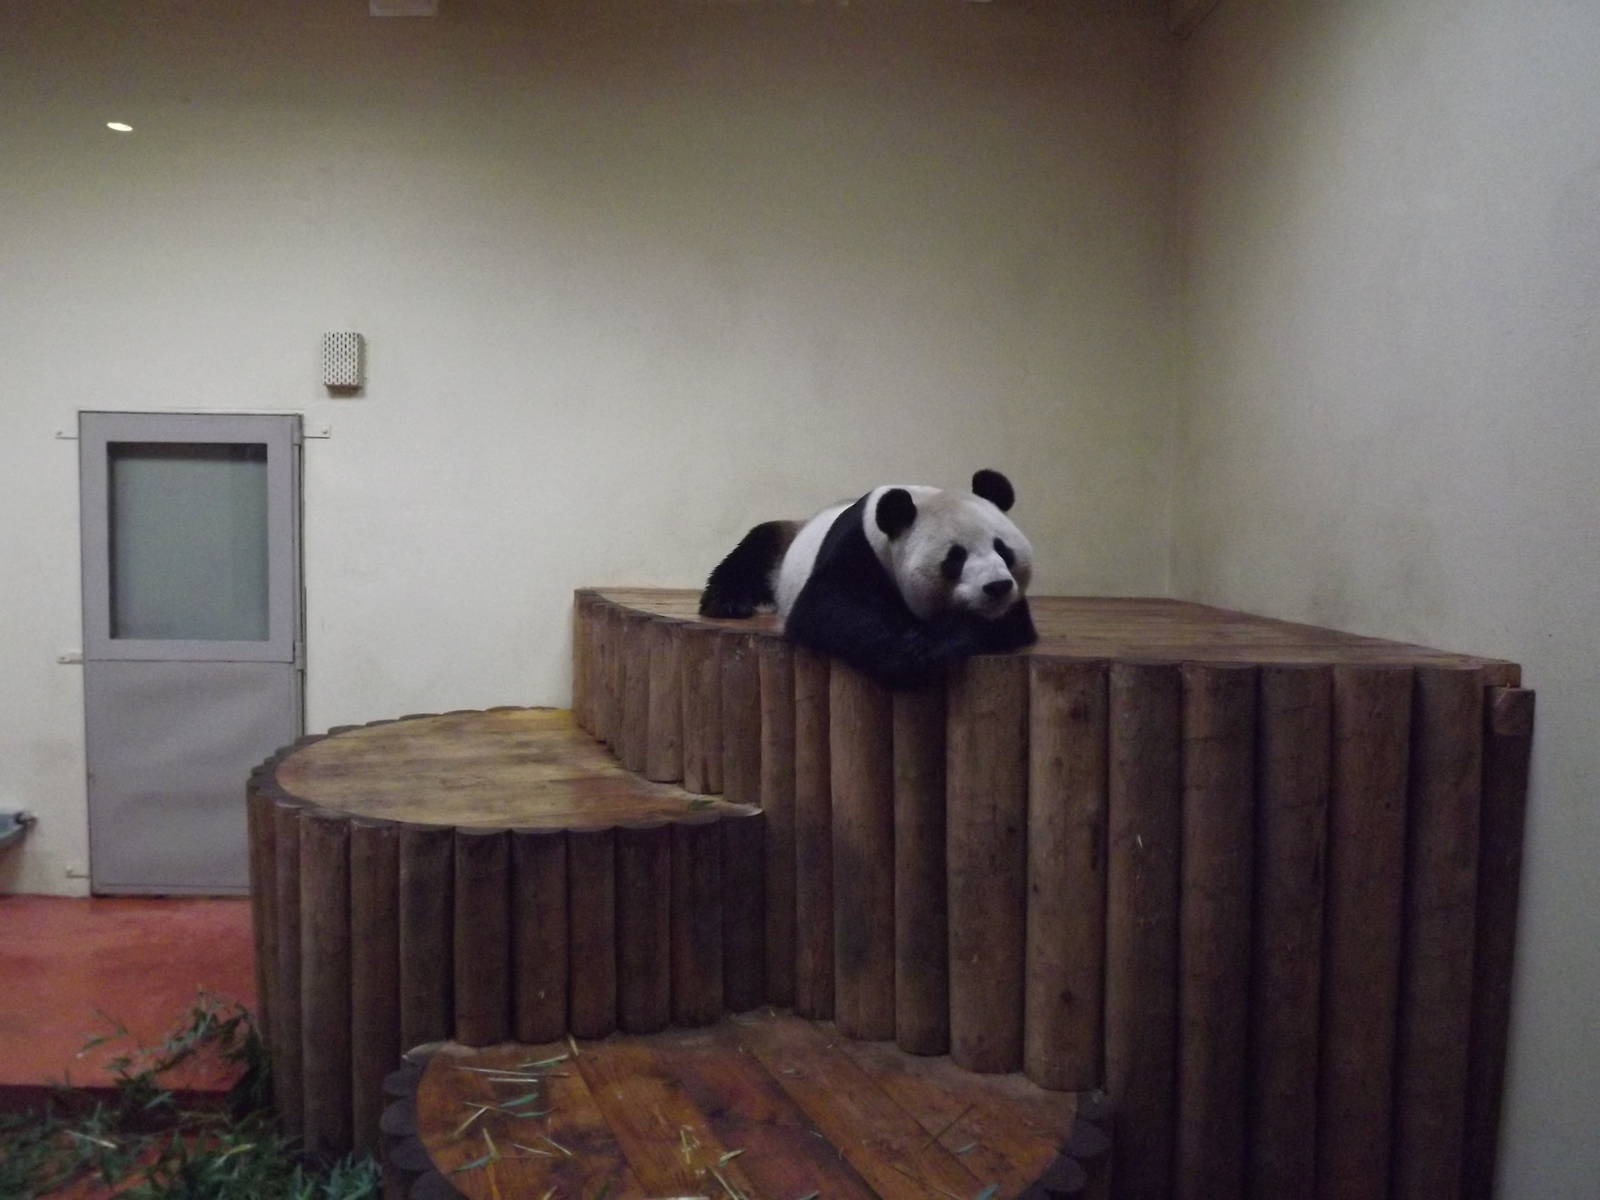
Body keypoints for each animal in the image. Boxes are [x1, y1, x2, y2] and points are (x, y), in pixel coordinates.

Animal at [699, 469, 1037, 688]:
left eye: (1003, 550)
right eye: (955, 558)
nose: (997, 586)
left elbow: (1012, 624)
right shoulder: (856, 550)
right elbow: (829, 611)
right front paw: (924, 649)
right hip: (780, 547)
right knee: (753, 550)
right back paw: (729, 603)